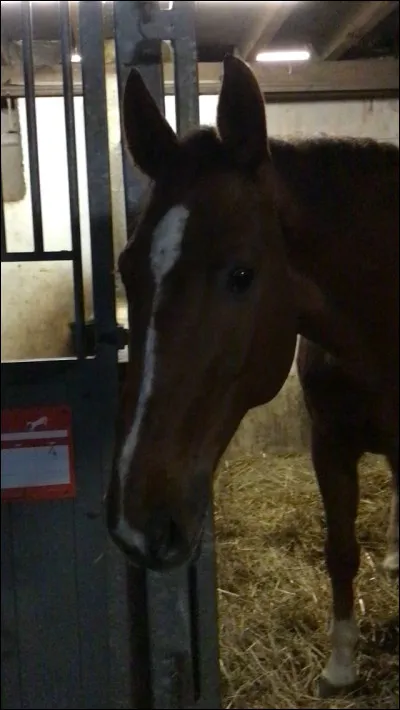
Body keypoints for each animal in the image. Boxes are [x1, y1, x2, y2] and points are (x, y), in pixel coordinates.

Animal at [106, 54, 399, 697]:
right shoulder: (328, 445)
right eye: (126, 269)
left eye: (241, 274)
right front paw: (341, 665)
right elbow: (340, 549)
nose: (138, 526)